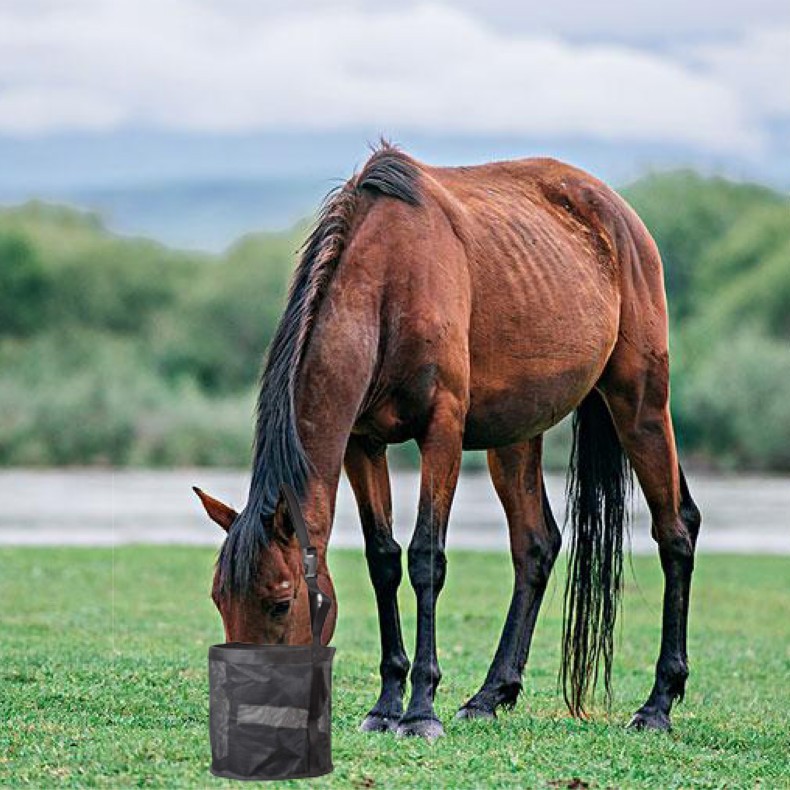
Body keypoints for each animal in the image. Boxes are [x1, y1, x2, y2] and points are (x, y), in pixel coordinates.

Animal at [195, 139, 704, 740]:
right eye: (219, 599)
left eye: (280, 602)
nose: (253, 714)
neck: (389, 283)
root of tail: (619, 215)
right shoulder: (362, 444)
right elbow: (384, 561)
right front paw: (385, 704)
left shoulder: (441, 433)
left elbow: (425, 560)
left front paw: (420, 710)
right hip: (516, 435)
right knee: (536, 546)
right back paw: (489, 695)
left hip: (640, 403)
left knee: (675, 532)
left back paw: (658, 704)